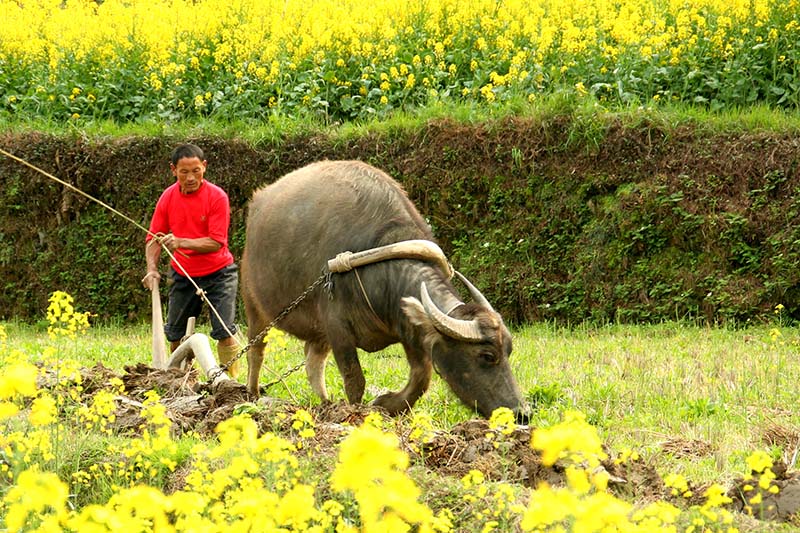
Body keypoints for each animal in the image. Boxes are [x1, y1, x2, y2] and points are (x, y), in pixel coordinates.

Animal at [241, 159, 528, 420]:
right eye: (487, 356)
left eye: (509, 351)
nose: (521, 413)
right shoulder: (337, 328)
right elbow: (354, 379)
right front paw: (355, 414)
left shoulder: (408, 328)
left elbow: (422, 377)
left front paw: (386, 403)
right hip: (254, 306)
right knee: (256, 351)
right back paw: (253, 396)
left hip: (317, 333)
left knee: (313, 362)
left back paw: (325, 405)